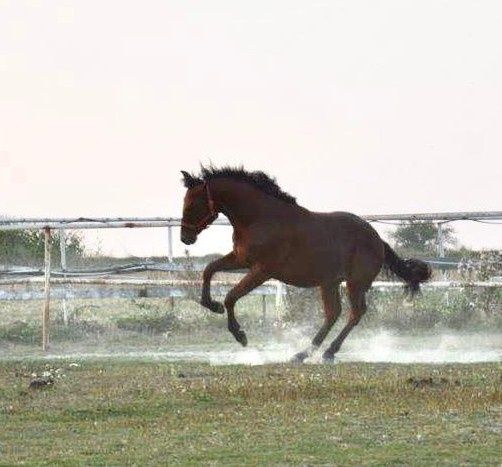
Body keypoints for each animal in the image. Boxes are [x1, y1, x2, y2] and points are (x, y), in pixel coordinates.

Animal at [178, 166, 430, 364]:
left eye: (191, 204)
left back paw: (326, 352)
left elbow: (231, 296)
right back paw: (304, 354)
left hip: (354, 283)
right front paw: (211, 304)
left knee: (355, 313)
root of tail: (378, 239)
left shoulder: (261, 270)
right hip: (329, 283)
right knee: (333, 313)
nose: (185, 238)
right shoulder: (240, 259)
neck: (259, 218)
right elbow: (209, 269)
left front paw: (240, 335)